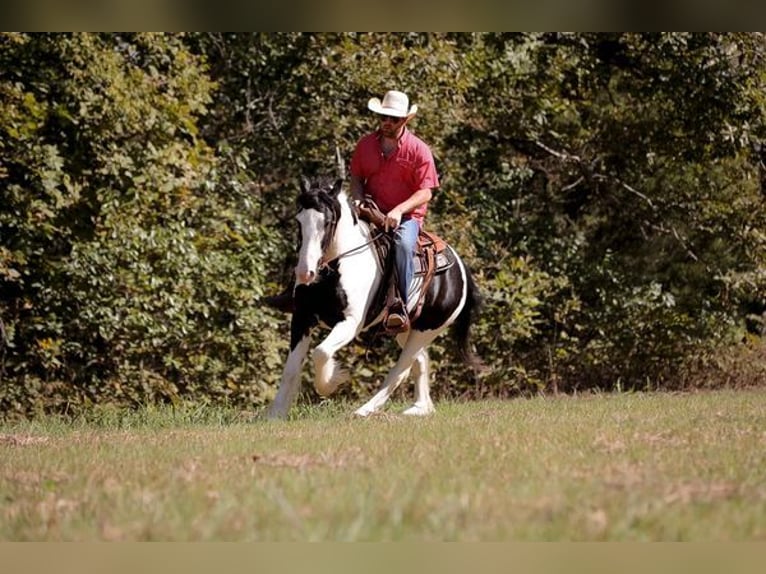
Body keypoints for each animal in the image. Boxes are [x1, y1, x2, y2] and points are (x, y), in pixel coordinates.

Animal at [264, 174, 480, 418]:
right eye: (299, 220)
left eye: (327, 222)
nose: (305, 272)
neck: (335, 267)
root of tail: (460, 269)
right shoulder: (302, 318)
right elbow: (291, 368)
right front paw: (275, 415)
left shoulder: (351, 323)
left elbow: (321, 352)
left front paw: (332, 381)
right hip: (407, 330)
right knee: (420, 361)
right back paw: (420, 408)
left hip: (427, 330)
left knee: (400, 371)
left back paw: (364, 410)